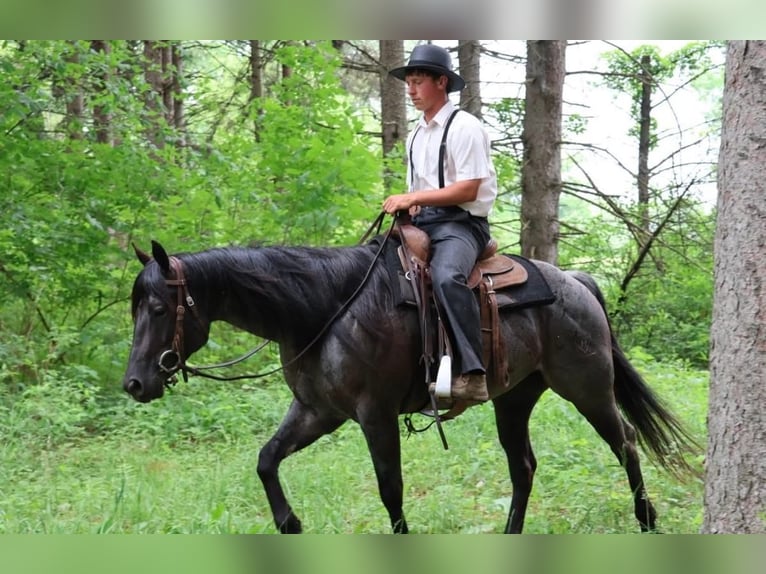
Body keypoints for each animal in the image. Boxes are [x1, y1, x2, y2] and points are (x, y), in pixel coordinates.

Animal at [122, 237, 699, 533]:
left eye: (159, 308)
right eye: (135, 309)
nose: (134, 383)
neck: (325, 309)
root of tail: (576, 281)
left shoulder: (373, 414)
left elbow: (390, 489)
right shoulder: (316, 411)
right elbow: (266, 460)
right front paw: (290, 524)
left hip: (587, 387)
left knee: (625, 443)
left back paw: (648, 521)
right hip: (514, 399)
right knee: (524, 466)